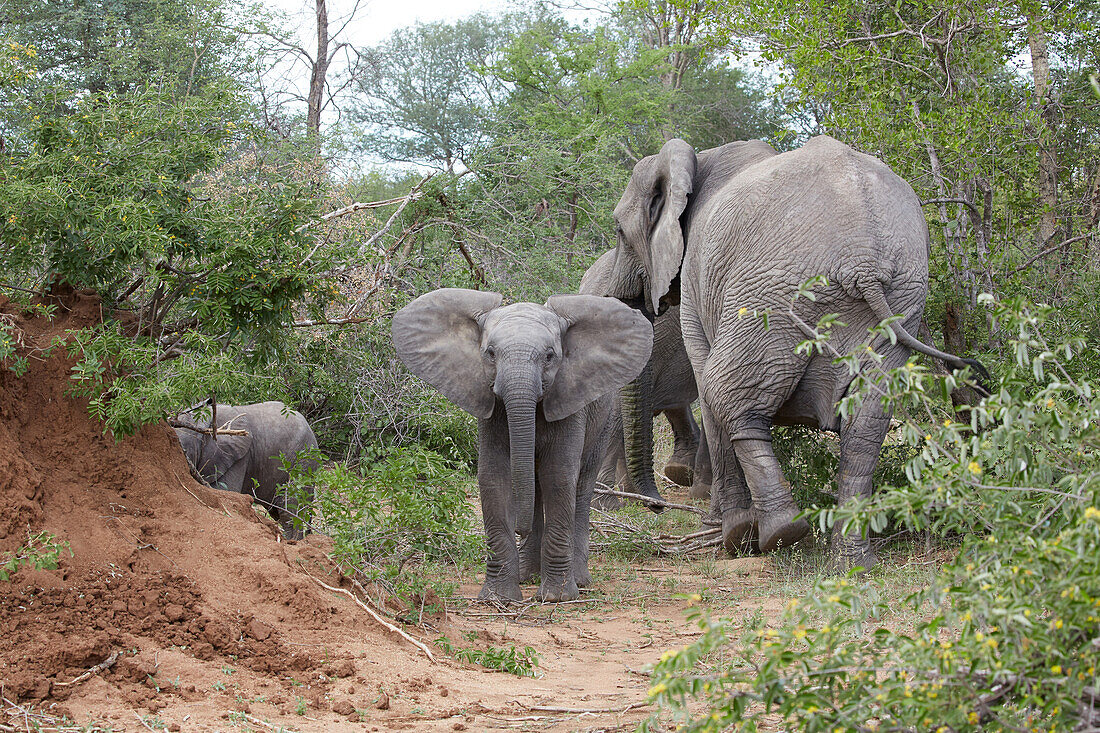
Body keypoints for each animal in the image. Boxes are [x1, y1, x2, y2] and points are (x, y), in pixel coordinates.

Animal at [393, 286, 651, 598]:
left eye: (550, 356)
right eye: (490, 353)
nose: (520, 528)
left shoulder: (568, 400)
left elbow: (559, 476)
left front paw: (556, 598)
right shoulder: (492, 406)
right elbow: (493, 476)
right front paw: (498, 598)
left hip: (605, 417)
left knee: (580, 486)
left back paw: (579, 581)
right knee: (537, 485)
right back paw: (529, 576)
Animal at [616, 137, 985, 572]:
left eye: (619, 232)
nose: (655, 507)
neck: (696, 160)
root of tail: (864, 260)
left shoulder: (695, 281)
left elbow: (705, 383)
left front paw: (718, 529)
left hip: (772, 295)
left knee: (727, 395)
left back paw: (773, 533)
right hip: (903, 298)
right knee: (866, 427)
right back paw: (852, 563)